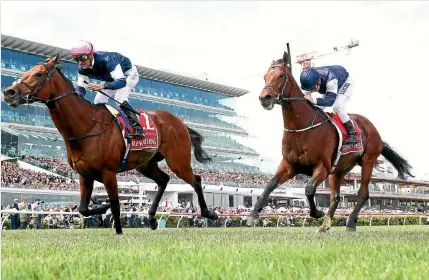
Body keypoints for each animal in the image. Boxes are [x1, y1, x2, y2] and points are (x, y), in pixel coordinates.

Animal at [2, 54, 217, 234]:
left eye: (38, 74)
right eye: (26, 71)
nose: (9, 92)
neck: (85, 126)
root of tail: (179, 122)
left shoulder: (108, 172)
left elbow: (115, 203)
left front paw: (119, 231)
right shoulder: (84, 175)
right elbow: (84, 208)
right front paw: (102, 206)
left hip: (178, 161)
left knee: (196, 180)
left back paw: (209, 213)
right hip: (145, 163)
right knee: (163, 180)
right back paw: (152, 218)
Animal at [249, 50, 412, 232]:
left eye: (281, 75)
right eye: (265, 77)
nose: (264, 98)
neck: (302, 127)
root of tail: (373, 129)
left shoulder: (323, 166)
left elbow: (309, 189)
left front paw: (317, 212)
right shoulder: (289, 165)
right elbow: (270, 184)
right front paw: (253, 214)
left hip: (368, 160)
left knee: (362, 194)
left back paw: (350, 223)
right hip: (339, 170)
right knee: (336, 197)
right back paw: (325, 225)